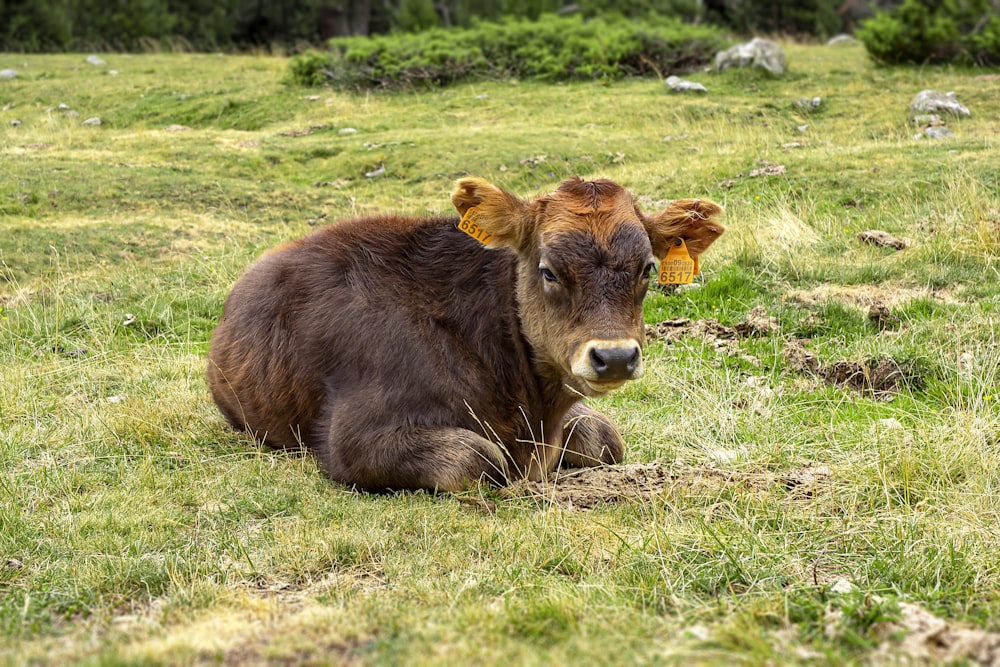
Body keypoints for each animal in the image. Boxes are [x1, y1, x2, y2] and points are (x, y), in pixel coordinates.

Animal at [209, 176, 728, 490]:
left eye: (647, 268)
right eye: (549, 270)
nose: (616, 357)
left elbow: (604, 437)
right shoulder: (354, 439)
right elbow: (480, 460)